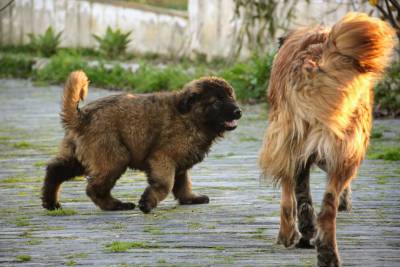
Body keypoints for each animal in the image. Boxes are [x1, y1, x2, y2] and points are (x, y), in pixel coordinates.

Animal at [41, 70, 241, 214]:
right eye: (217, 101)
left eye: (231, 96)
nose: (238, 112)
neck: (191, 116)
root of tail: (82, 117)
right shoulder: (163, 158)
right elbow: (165, 184)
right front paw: (147, 202)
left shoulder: (180, 161)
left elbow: (183, 183)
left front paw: (191, 198)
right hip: (114, 157)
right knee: (94, 188)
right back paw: (116, 205)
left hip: (80, 156)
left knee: (55, 170)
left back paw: (51, 203)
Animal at [260, 12, 396, 266]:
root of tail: (316, 59)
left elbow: (291, 194)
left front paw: (290, 234)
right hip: (348, 145)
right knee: (327, 205)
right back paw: (326, 252)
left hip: (296, 137)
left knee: (305, 199)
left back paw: (311, 241)